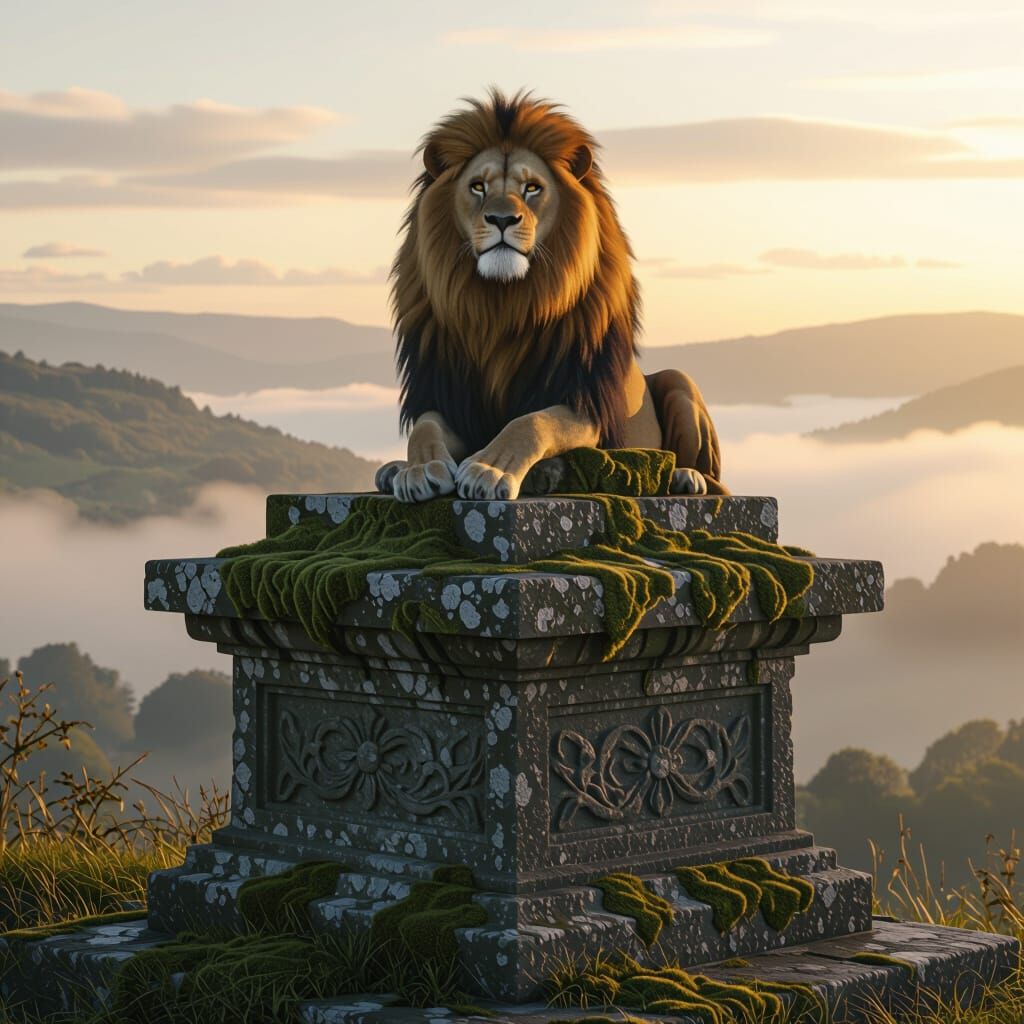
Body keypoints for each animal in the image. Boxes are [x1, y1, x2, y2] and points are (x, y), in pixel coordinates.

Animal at [376, 88, 728, 503]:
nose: (501, 219)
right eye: (478, 186)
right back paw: (392, 469)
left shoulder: (583, 400)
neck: (500, 304)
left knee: (711, 475)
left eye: (532, 188)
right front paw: (418, 469)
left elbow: (530, 423)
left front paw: (488, 469)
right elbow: (425, 428)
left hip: (679, 381)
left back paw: (684, 476)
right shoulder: (448, 396)